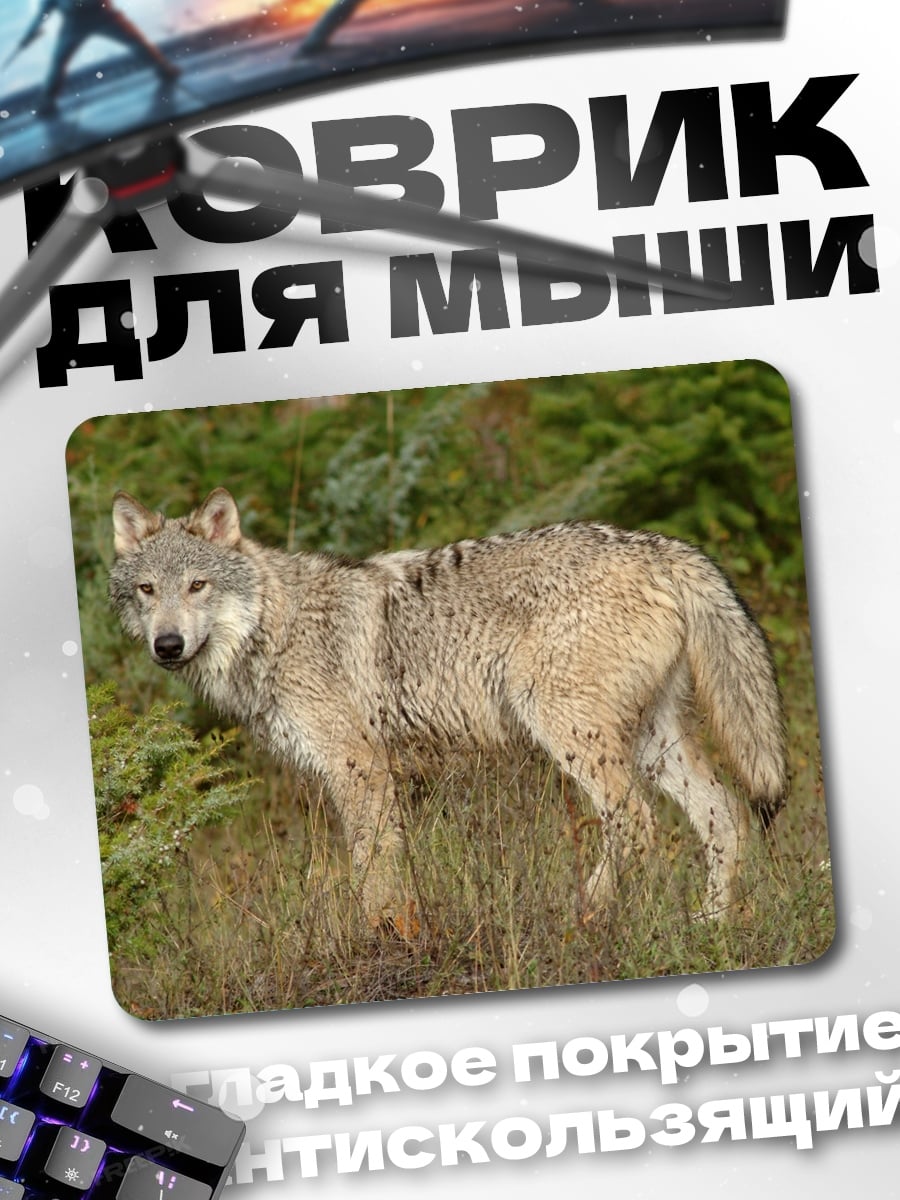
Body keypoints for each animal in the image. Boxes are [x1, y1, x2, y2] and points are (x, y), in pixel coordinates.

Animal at [109, 488, 788, 923]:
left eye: (198, 586)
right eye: (147, 591)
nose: (167, 646)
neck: (275, 626)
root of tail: (663, 546)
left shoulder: (361, 769)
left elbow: (371, 875)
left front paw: (381, 942)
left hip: (572, 734)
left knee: (638, 826)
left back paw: (587, 916)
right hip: (652, 744)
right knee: (725, 816)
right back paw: (709, 929)